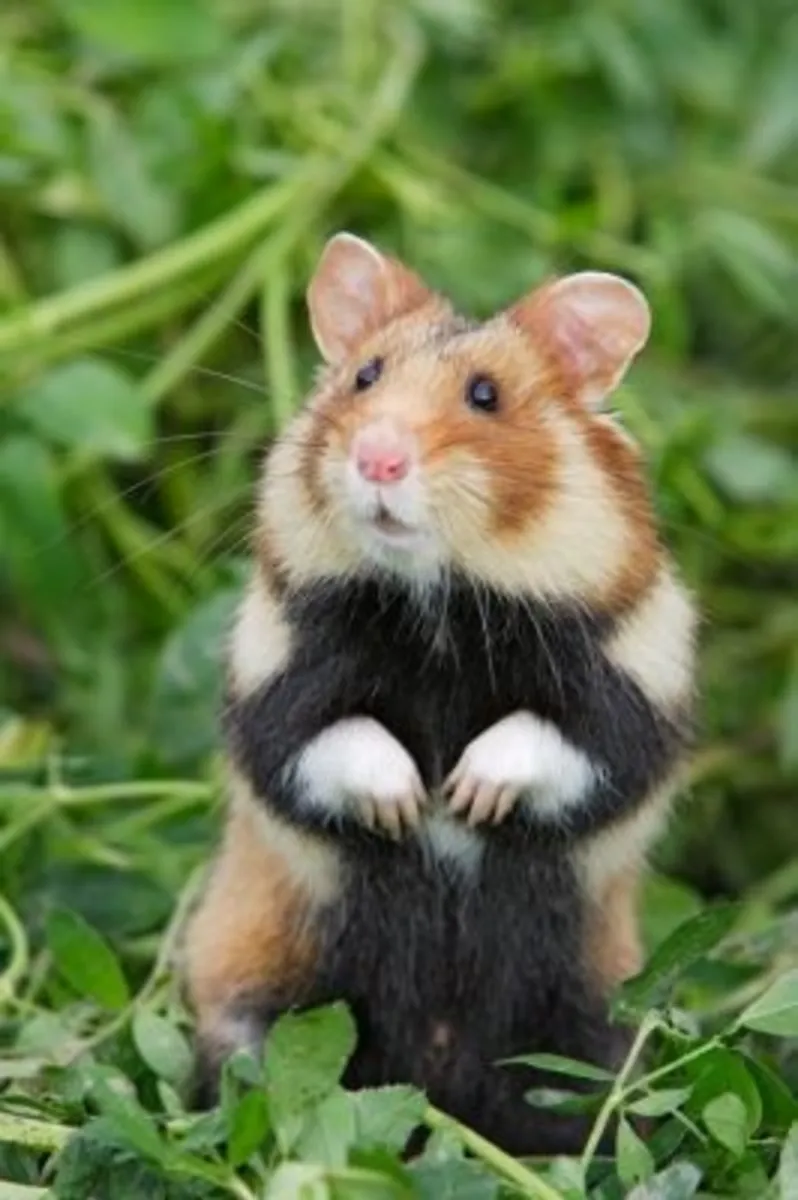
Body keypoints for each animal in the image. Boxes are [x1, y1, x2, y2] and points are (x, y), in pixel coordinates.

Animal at [182, 233, 697, 1156]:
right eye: (364, 376)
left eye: (485, 396)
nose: (378, 458)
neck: (440, 598)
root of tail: (439, 1080)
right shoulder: (277, 676)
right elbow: (333, 739)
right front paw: (407, 806)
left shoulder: (632, 688)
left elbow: (555, 738)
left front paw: (464, 799)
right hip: (255, 1002)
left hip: (584, 1036)